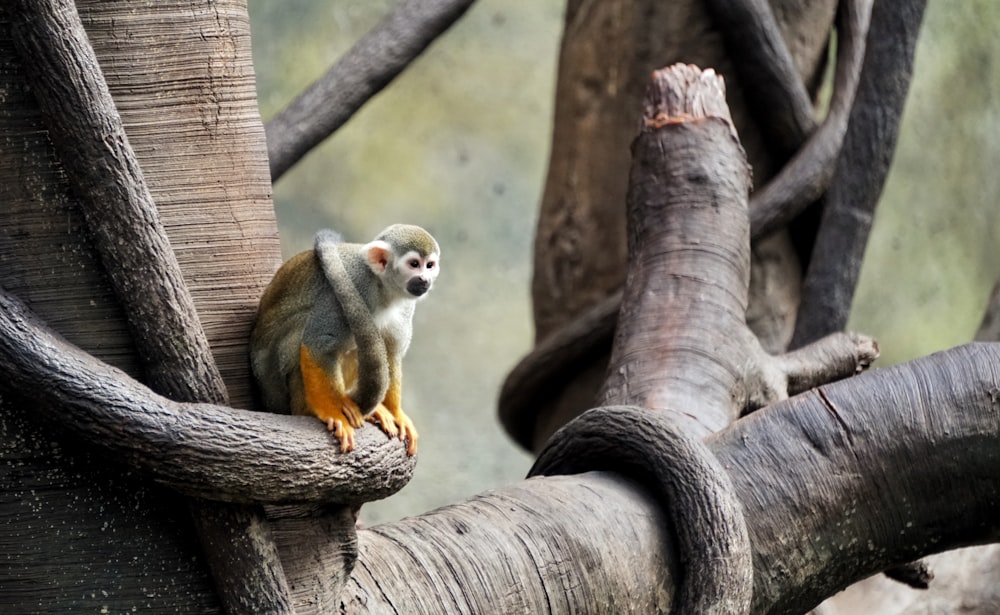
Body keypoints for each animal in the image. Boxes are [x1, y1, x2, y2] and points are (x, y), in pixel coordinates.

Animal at [248, 224, 440, 454]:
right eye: (414, 264)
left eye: (429, 265)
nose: (425, 280)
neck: (382, 287)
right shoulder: (354, 283)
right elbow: (319, 344)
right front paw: (332, 411)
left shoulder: (405, 305)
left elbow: (392, 353)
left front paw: (396, 413)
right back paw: (309, 409)